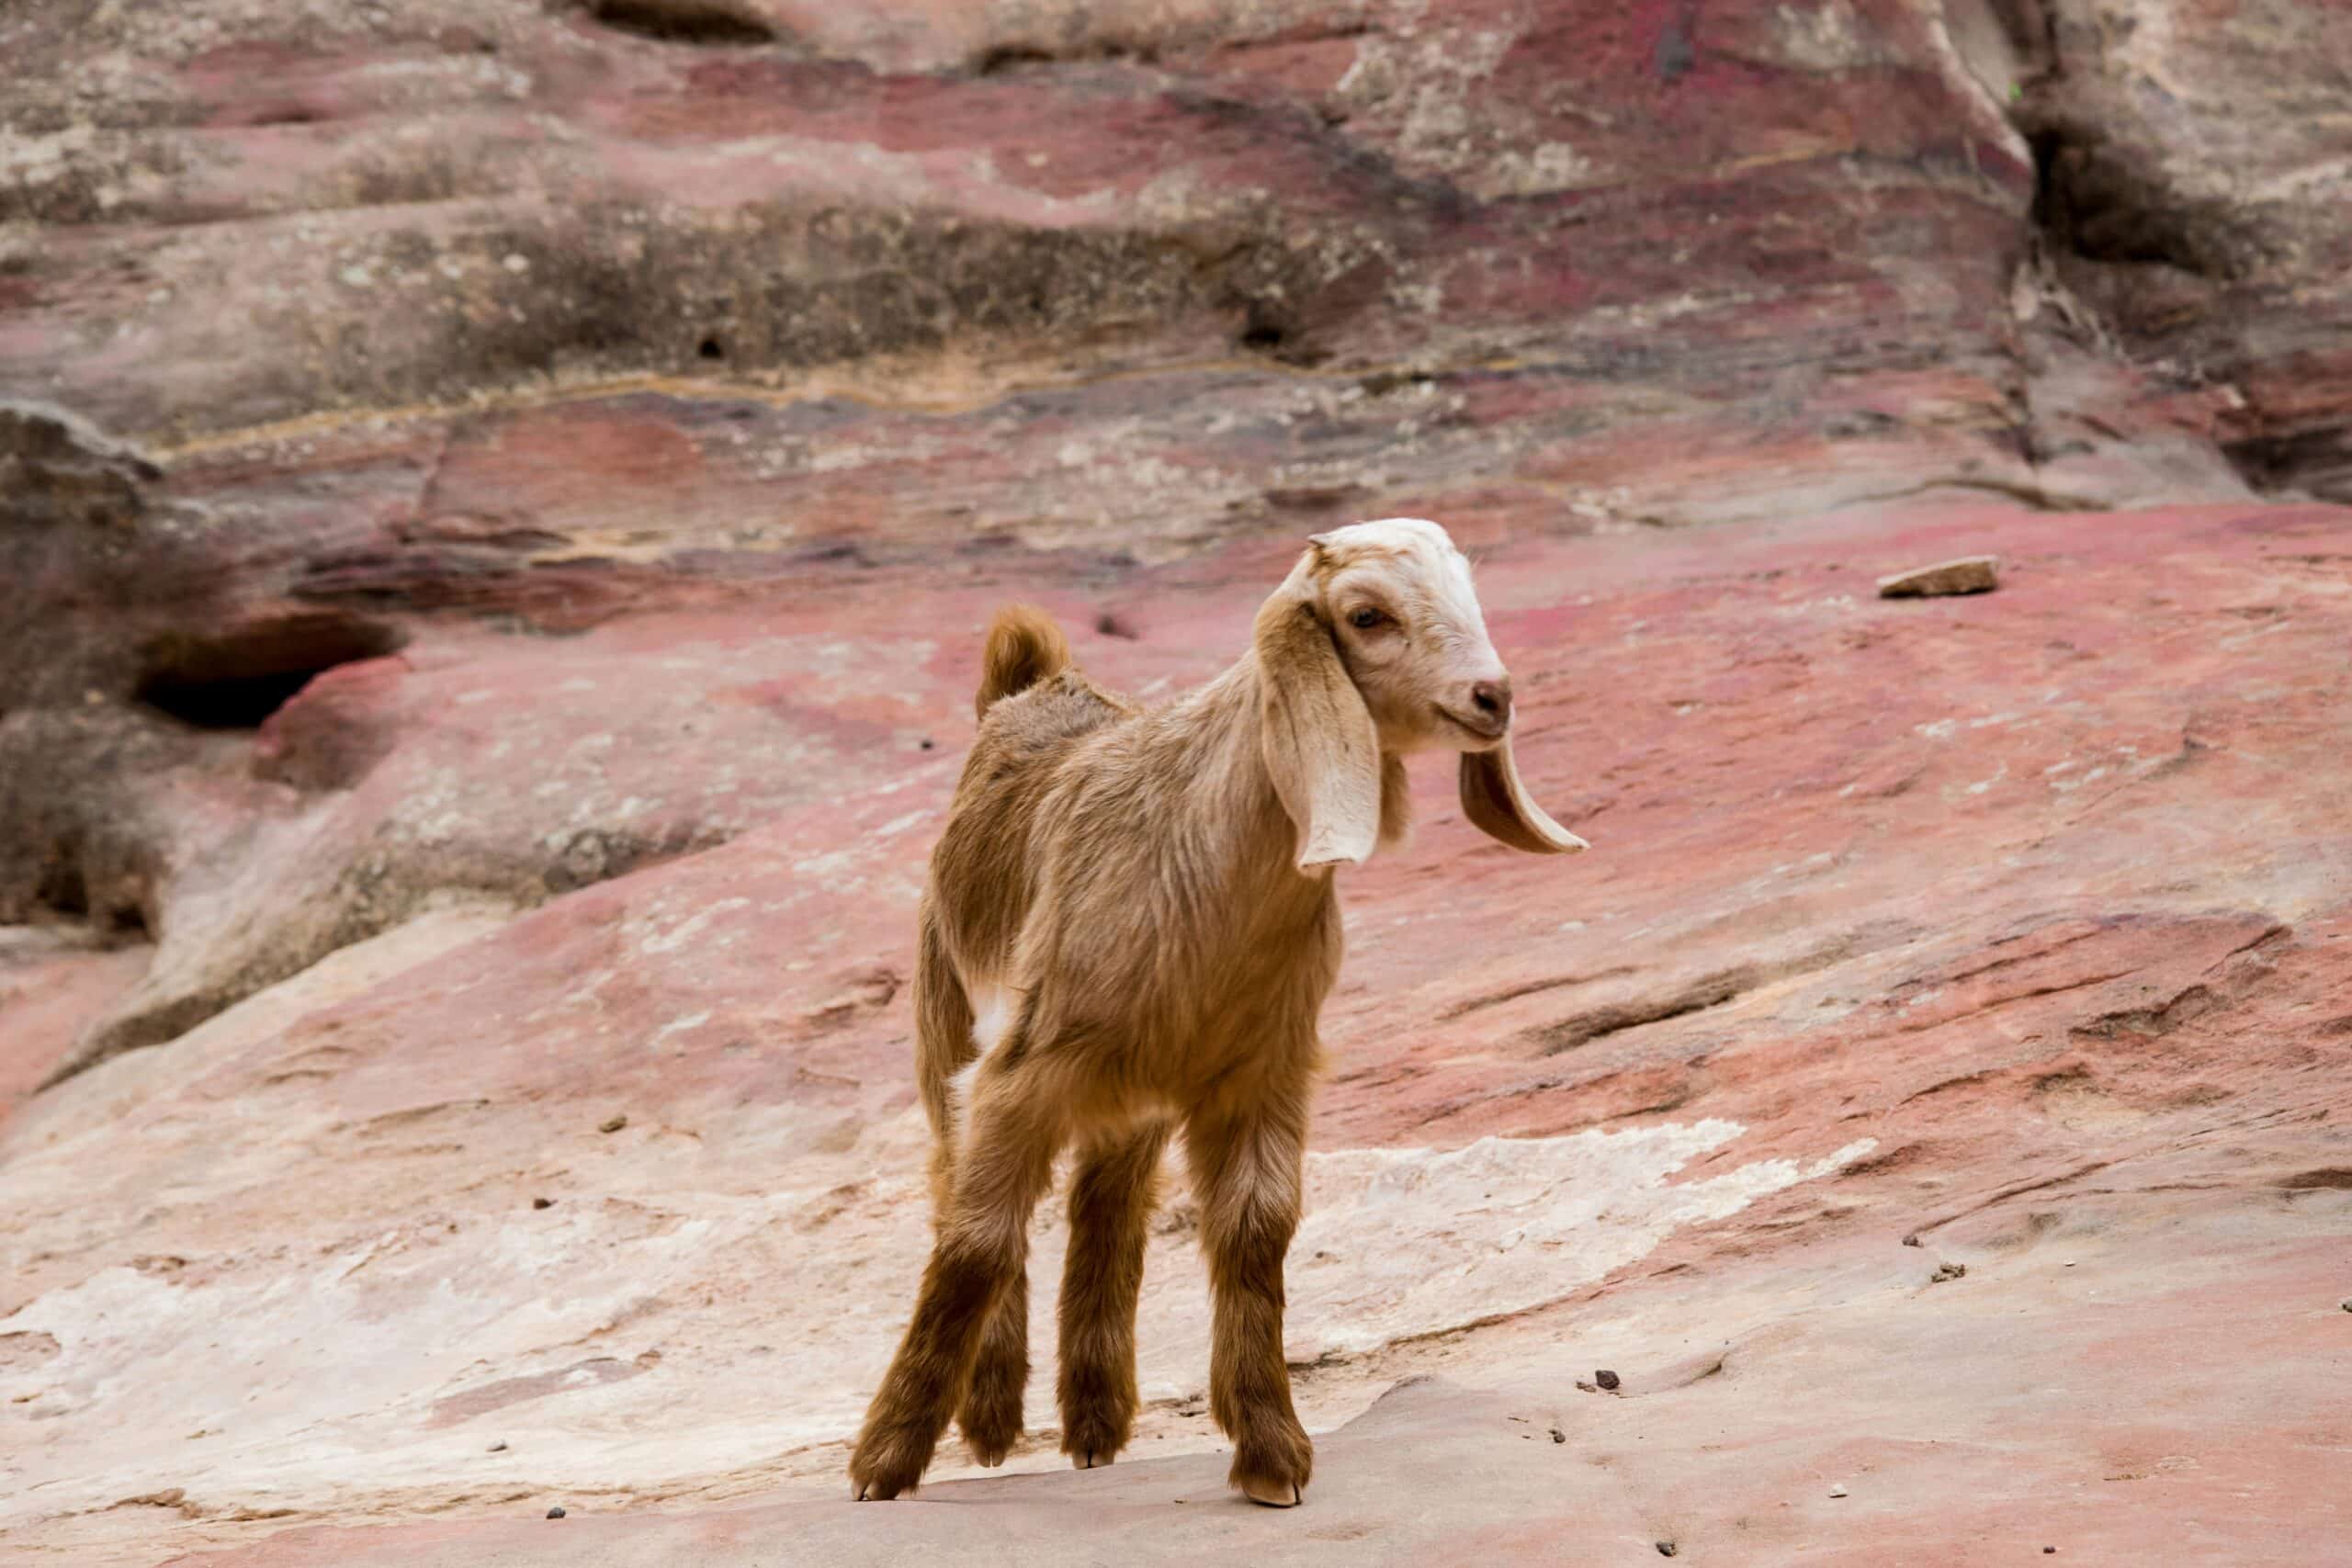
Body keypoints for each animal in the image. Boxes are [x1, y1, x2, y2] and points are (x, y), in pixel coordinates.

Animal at [846, 522, 1580, 1514]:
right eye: (1367, 615)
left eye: (1469, 593)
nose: (1491, 698)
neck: (1203, 867)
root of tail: (1031, 683)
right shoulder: (1022, 1068)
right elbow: (976, 1243)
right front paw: (884, 1462)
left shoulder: (1260, 1069)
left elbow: (1254, 1230)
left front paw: (1270, 1450)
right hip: (949, 1025)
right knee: (958, 1189)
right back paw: (995, 1416)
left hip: (1132, 1092)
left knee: (1105, 1206)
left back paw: (1095, 1422)